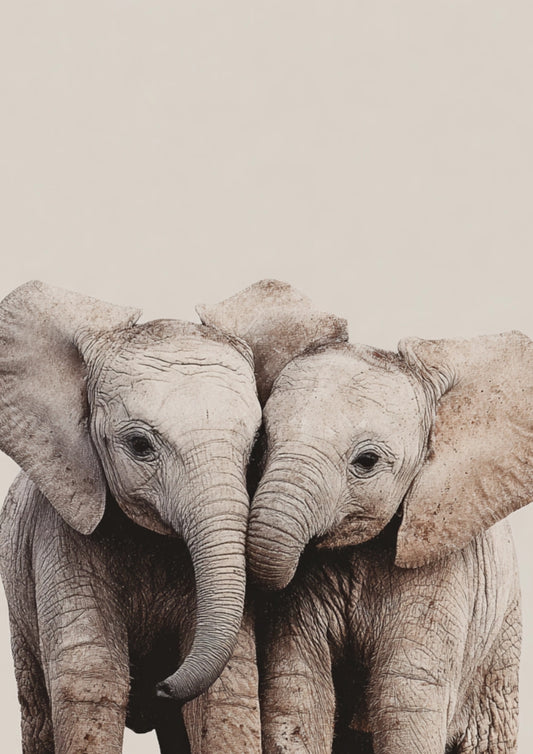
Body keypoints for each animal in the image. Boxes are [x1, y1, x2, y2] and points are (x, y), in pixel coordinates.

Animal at [0, 281, 263, 753]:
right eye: (140, 445)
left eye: (255, 448)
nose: (160, 685)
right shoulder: (61, 531)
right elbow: (92, 678)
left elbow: (225, 692)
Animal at [199, 280, 533, 754]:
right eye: (263, 440)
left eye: (367, 461)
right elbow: (297, 692)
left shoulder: (442, 570)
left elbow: (403, 696)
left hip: (501, 644)